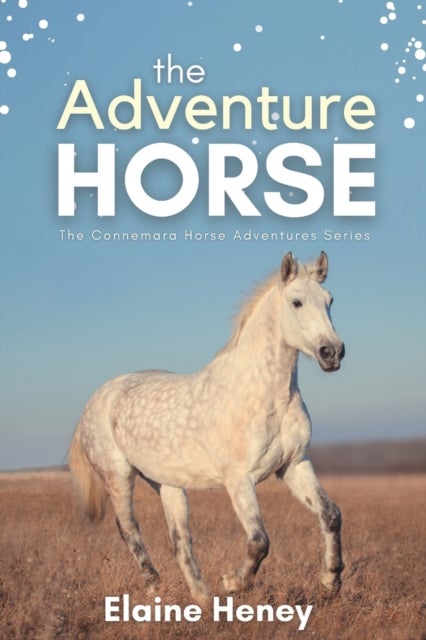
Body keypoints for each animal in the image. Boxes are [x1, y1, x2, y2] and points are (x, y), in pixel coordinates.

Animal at [68, 251, 345, 603]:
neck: (269, 396)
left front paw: (330, 581)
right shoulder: (239, 480)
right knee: (129, 529)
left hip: (167, 484)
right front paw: (233, 582)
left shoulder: (294, 465)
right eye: (296, 302)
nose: (332, 352)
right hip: (117, 477)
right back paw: (156, 586)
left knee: (179, 540)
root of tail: (97, 399)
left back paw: (202, 598)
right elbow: (260, 540)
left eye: (329, 300)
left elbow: (330, 514)